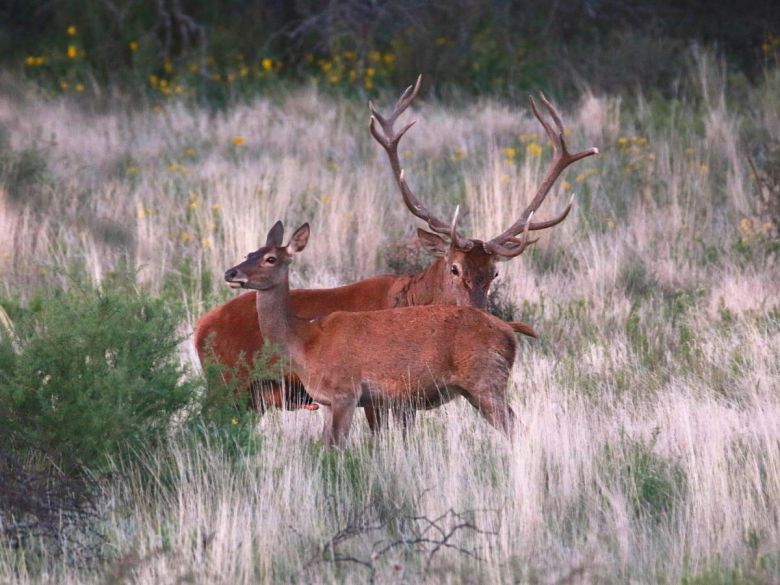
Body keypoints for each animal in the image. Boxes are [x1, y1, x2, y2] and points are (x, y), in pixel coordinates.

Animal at [222, 220, 520, 448]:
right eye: (249, 253)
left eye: (270, 258)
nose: (231, 272)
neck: (305, 341)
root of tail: (510, 334)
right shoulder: (326, 401)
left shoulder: (347, 392)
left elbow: (338, 446)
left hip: (486, 381)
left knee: (513, 425)